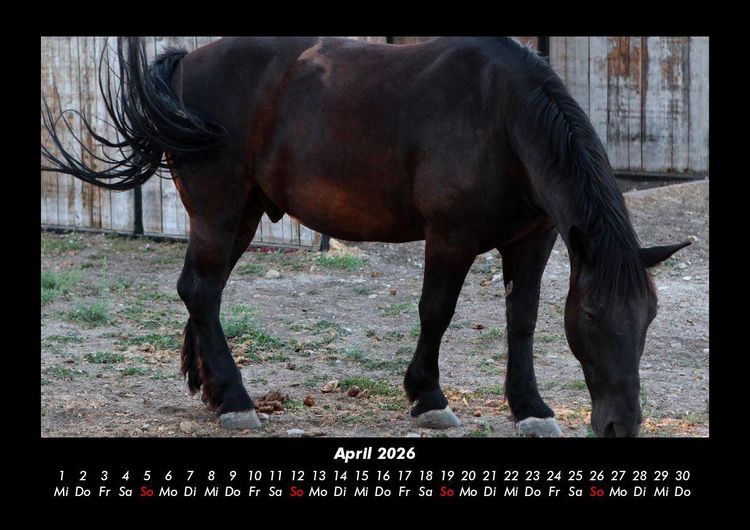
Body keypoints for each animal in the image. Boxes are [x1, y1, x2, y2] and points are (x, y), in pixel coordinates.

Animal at [41, 36, 690, 437]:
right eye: (594, 318)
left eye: (649, 318)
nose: (620, 426)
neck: (502, 117)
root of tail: (184, 65)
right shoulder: (449, 239)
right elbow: (436, 312)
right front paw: (428, 398)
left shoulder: (534, 241)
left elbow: (523, 320)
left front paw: (529, 407)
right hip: (220, 210)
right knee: (201, 291)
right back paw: (237, 400)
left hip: (242, 216)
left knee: (203, 291)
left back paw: (213, 390)